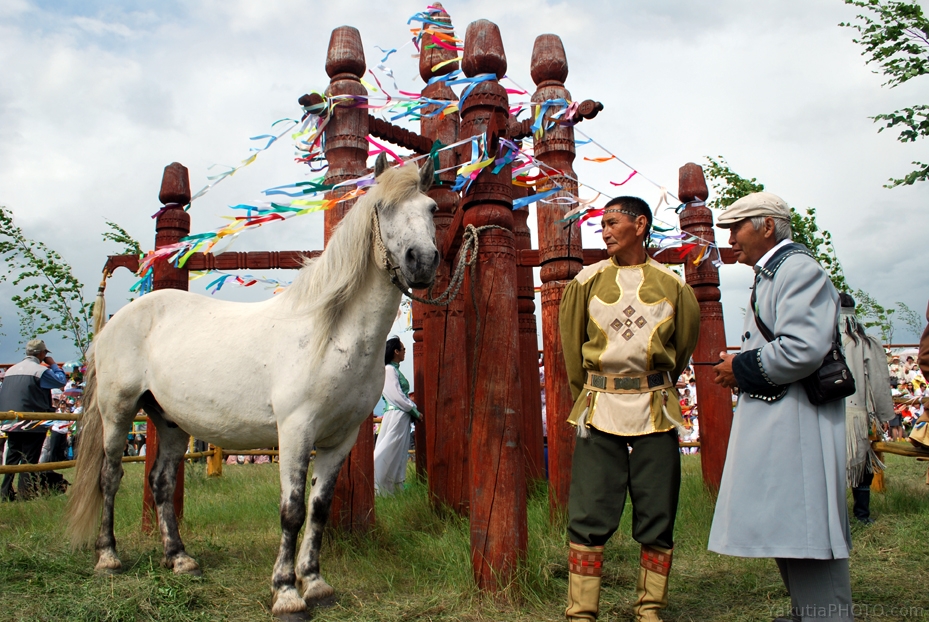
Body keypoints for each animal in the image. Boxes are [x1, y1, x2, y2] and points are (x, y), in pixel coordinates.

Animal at [69, 155, 438, 620]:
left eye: (432, 208)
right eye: (383, 208)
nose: (422, 261)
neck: (332, 334)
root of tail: (118, 319)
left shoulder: (341, 438)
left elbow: (319, 509)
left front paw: (315, 583)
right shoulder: (295, 431)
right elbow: (292, 510)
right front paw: (287, 593)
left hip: (171, 422)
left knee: (160, 482)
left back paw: (179, 558)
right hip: (117, 413)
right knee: (111, 476)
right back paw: (108, 557)